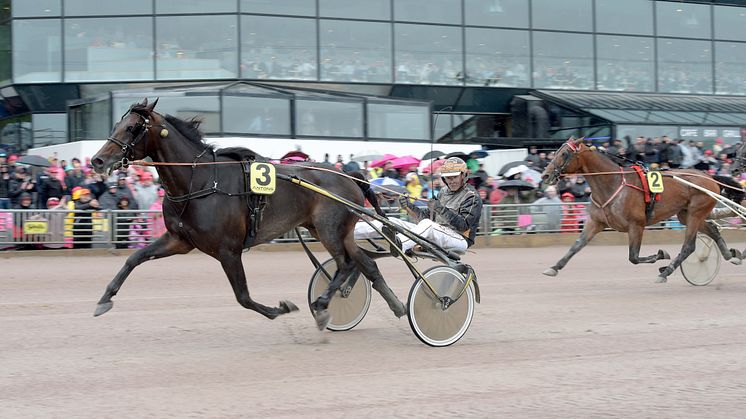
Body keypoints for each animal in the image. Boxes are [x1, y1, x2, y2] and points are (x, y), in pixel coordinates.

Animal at [91, 99, 410, 332]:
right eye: (117, 123)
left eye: (133, 127)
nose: (97, 160)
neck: (200, 181)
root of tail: (350, 175)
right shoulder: (179, 240)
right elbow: (135, 258)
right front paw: (105, 299)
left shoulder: (228, 250)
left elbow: (243, 297)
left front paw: (281, 308)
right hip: (331, 230)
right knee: (365, 263)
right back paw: (396, 306)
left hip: (329, 228)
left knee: (345, 264)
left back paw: (321, 305)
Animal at [536, 136, 740, 284]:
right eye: (556, 151)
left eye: (564, 153)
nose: (545, 175)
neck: (612, 183)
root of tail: (710, 178)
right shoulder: (596, 222)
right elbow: (576, 246)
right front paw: (554, 268)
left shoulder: (637, 225)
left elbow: (633, 257)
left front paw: (660, 255)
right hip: (686, 214)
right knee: (712, 229)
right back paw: (732, 256)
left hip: (696, 212)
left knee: (689, 246)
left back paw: (665, 272)